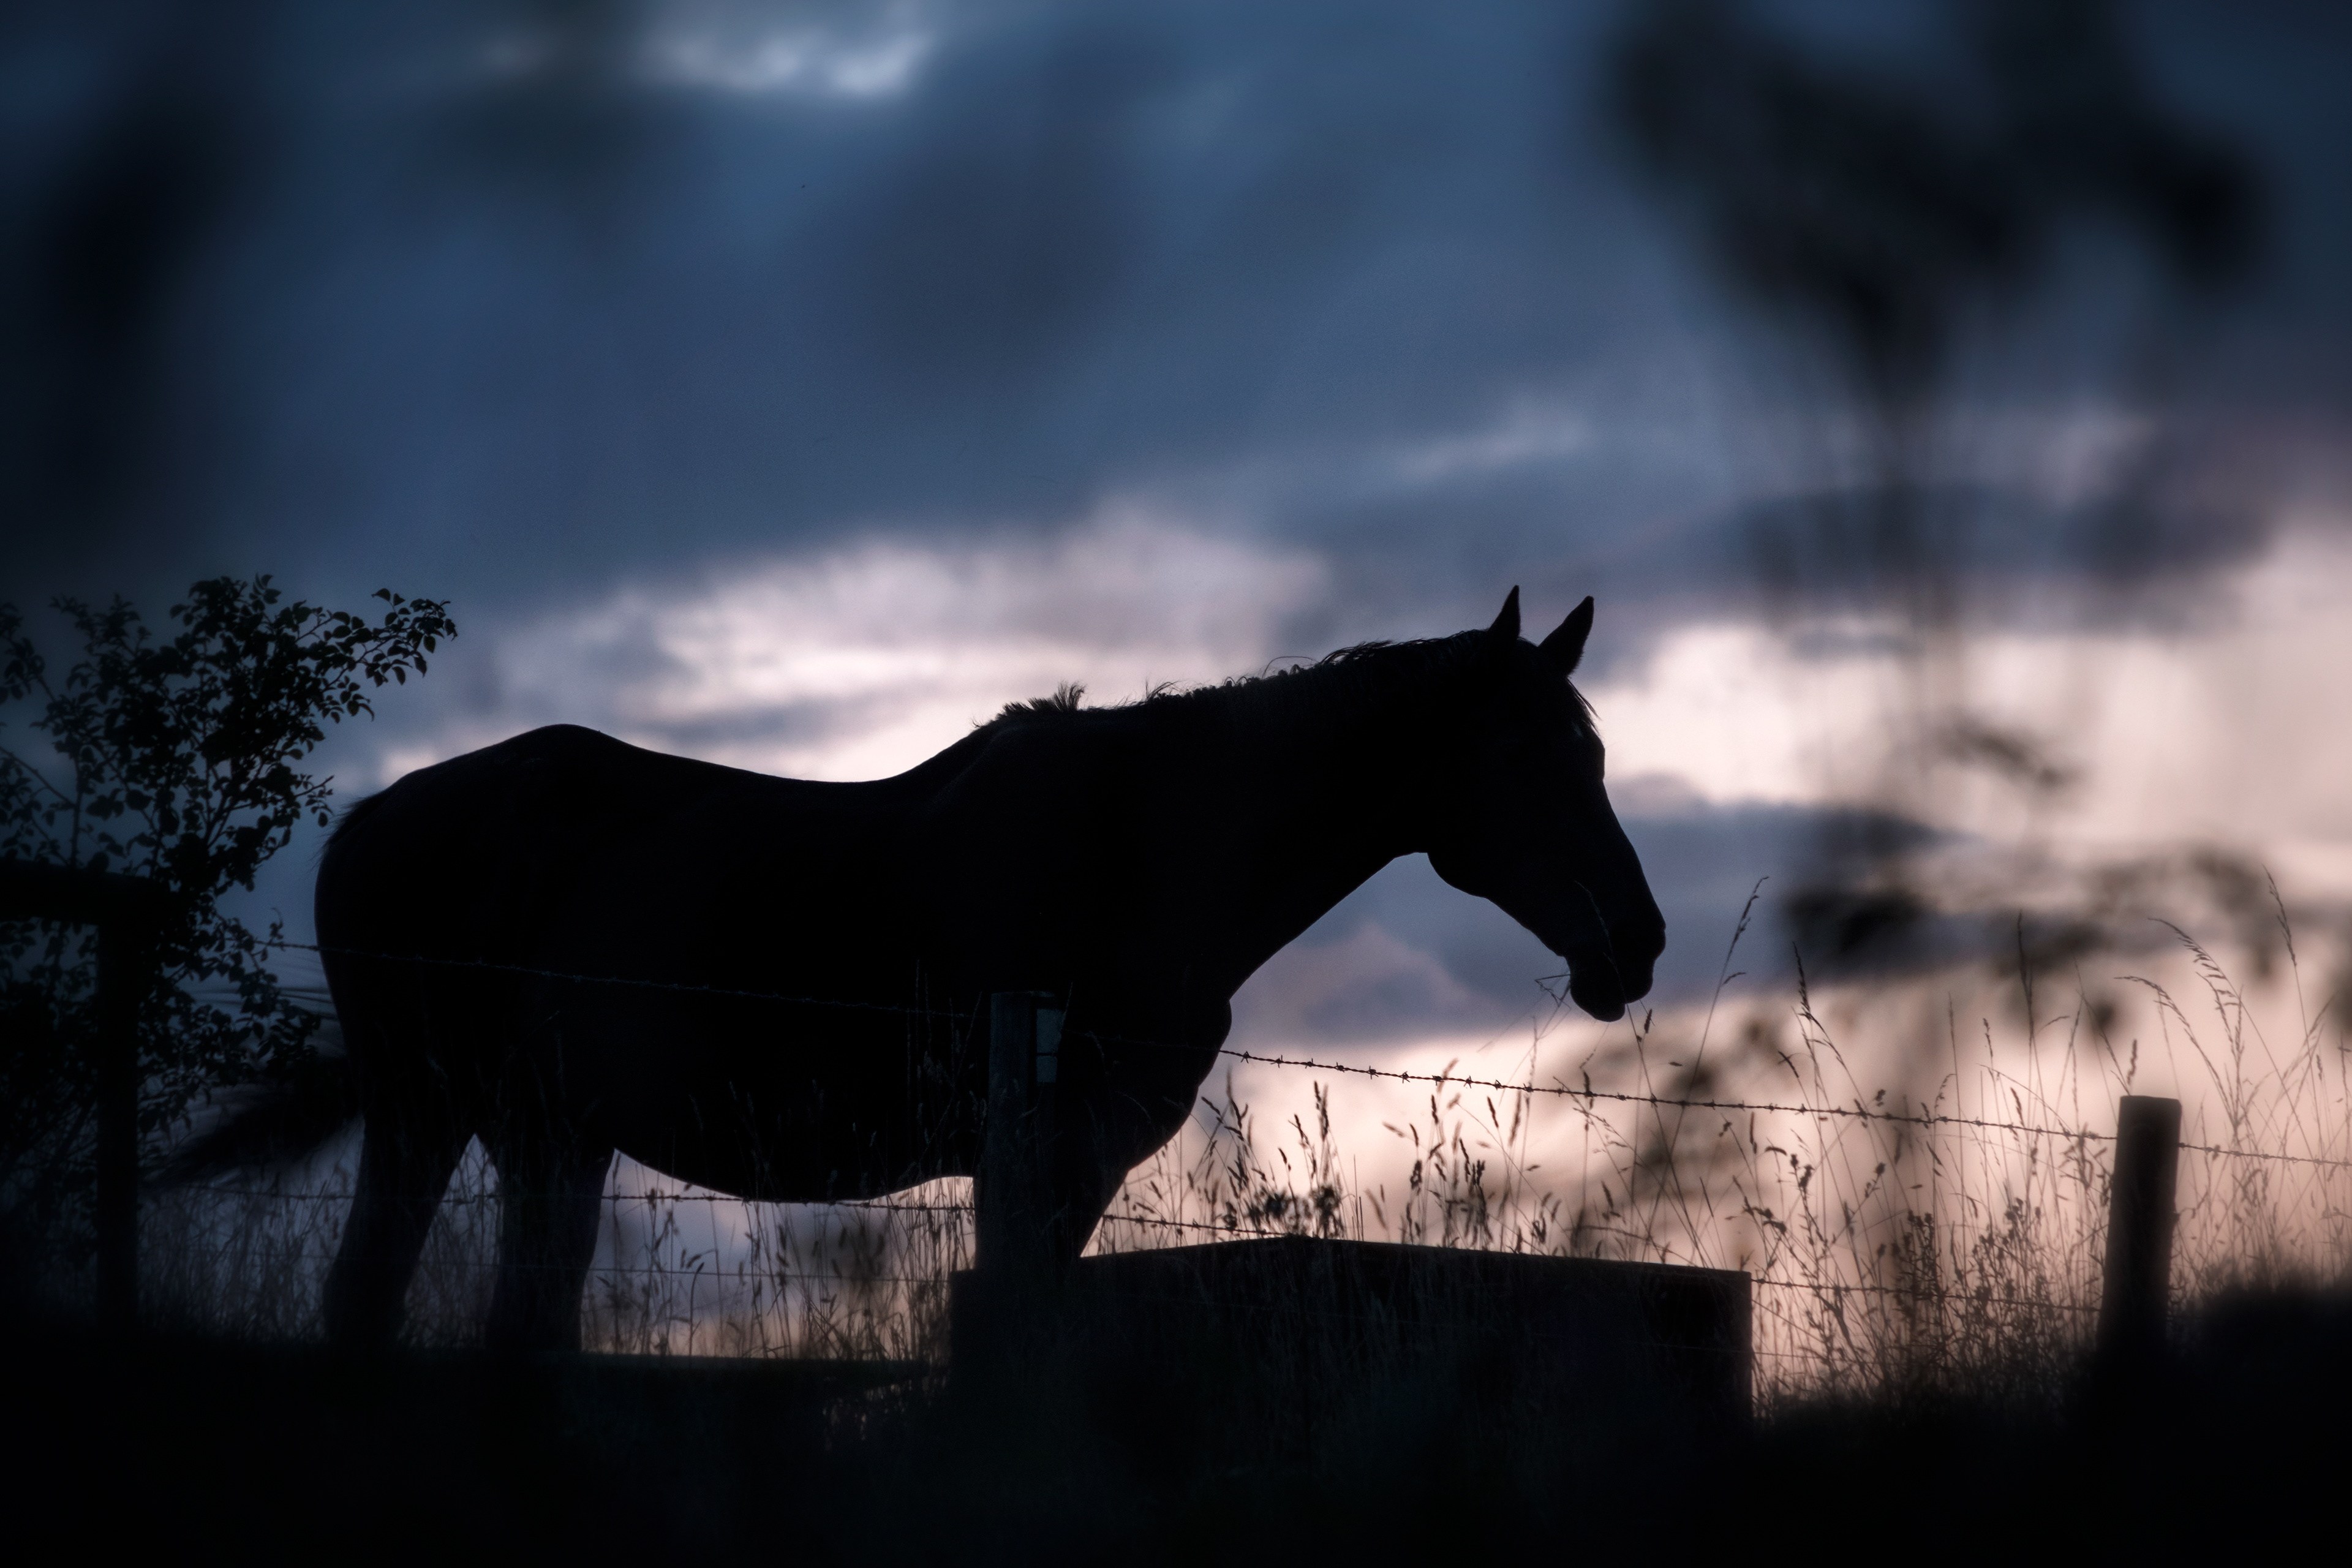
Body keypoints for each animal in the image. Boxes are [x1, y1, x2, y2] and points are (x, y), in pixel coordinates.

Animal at [308, 588, 1663, 1351]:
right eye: (1529, 758)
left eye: (1596, 753)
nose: (1638, 942)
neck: (1143, 850)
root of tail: (368, 819)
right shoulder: (1047, 1152)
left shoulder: (1078, 1167)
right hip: (435, 1113)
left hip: (546, 1132)